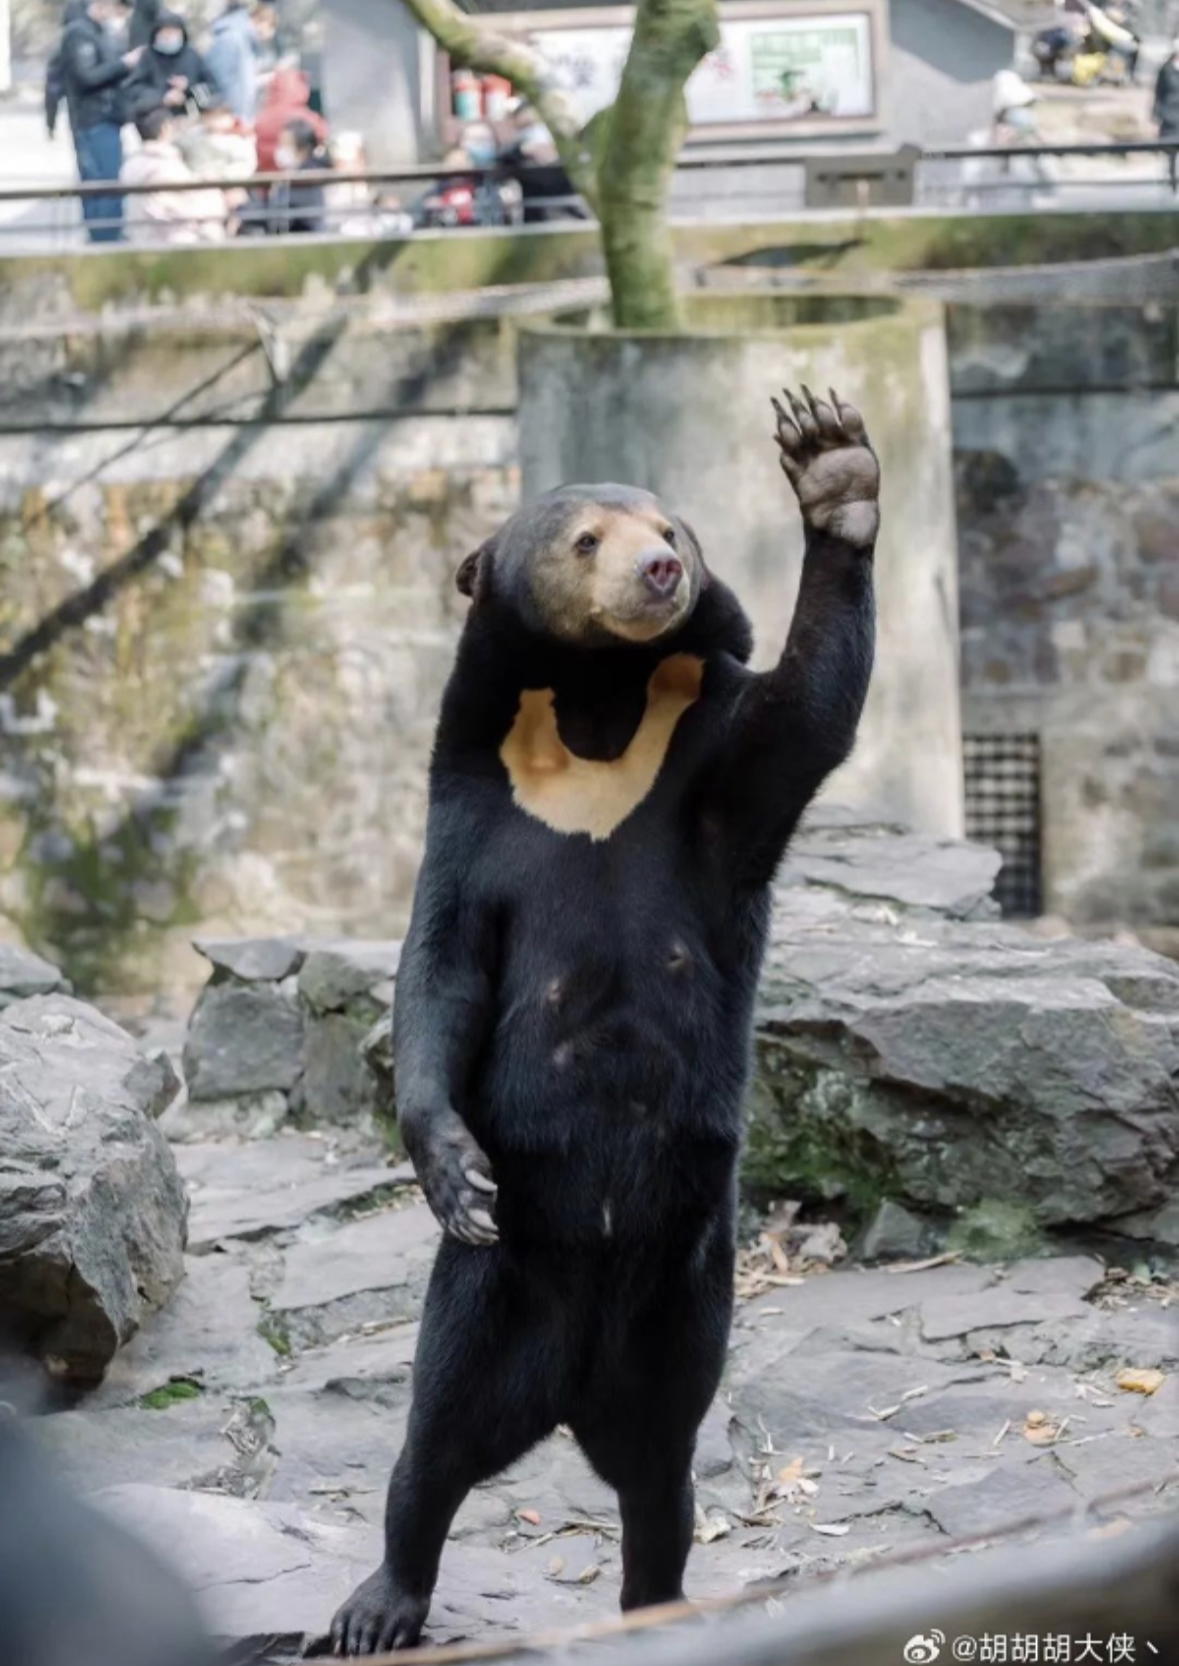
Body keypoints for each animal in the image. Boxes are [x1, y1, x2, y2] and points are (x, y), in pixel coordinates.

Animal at [329, 386, 872, 1652]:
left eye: (667, 522)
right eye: (587, 539)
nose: (665, 566)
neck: (598, 718)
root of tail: (572, 1386)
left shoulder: (710, 773)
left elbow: (803, 719)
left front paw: (832, 462)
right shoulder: (477, 809)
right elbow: (439, 967)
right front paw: (454, 1167)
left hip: (691, 1292)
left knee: (662, 1474)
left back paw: (657, 1601)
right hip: (492, 1293)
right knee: (434, 1440)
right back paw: (380, 1602)